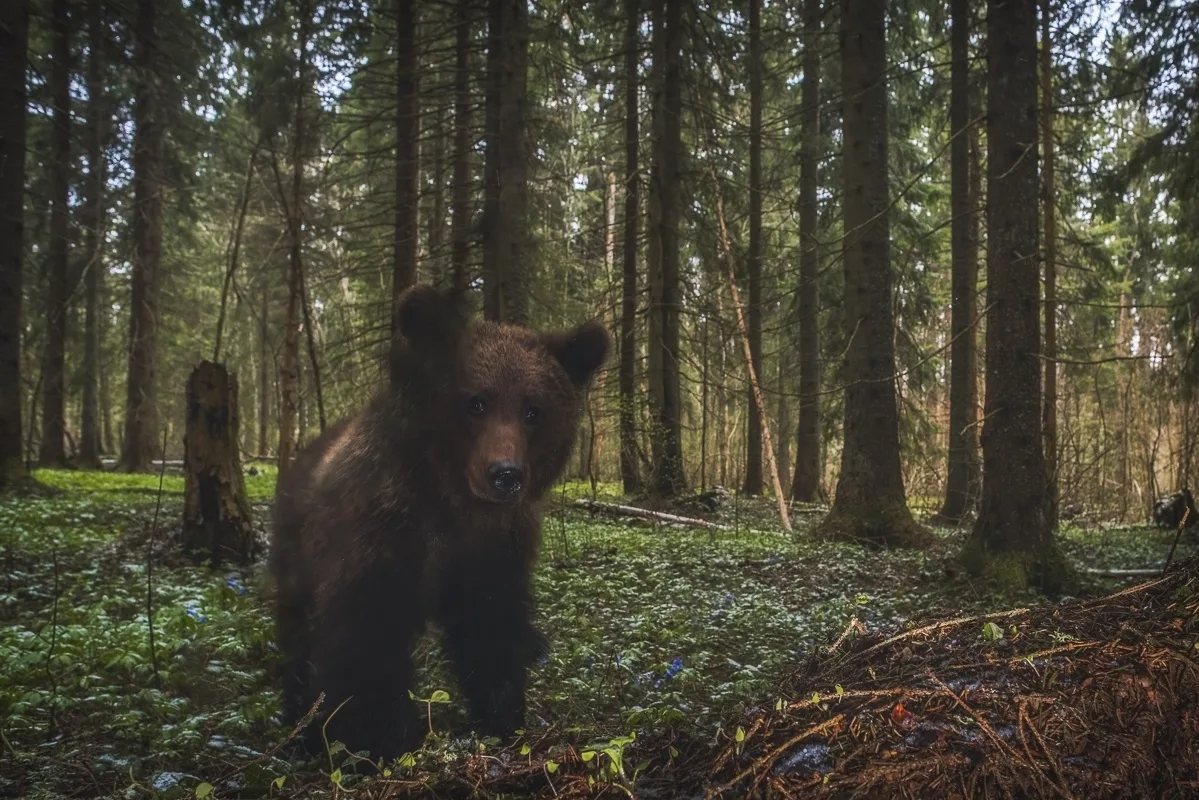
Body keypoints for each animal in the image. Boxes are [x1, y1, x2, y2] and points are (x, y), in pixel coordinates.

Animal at [270, 284, 609, 761]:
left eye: (533, 410)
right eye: (476, 402)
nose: (506, 474)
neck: (453, 502)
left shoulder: (491, 551)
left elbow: (490, 629)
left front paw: (502, 718)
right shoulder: (383, 534)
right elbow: (366, 639)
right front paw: (375, 740)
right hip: (298, 552)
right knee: (298, 634)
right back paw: (298, 723)